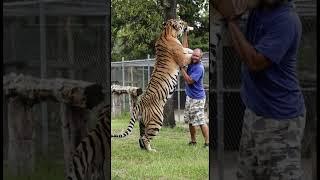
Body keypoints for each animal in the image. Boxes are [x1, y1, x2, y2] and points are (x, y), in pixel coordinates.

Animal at [111, 19, 194, 152]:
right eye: (181, 22)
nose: (187, 24)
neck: (167, 33)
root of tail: (139, 105)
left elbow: (187, 48)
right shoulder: (182, 58)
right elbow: (188, 54)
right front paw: (197, 52)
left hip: (143, 123)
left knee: (141, 137)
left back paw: (145, 149)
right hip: (157, 121)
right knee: (145, 138)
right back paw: (152, 151)